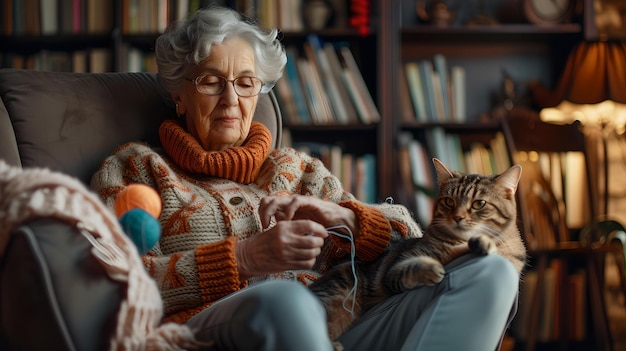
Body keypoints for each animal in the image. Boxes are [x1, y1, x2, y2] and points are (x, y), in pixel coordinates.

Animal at [310, 157, 524, 344]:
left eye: (479, 204)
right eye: (449, 201)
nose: (458, 217)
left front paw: (484, 243)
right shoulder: (395, 269)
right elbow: (410, 268)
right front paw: (433, 268)